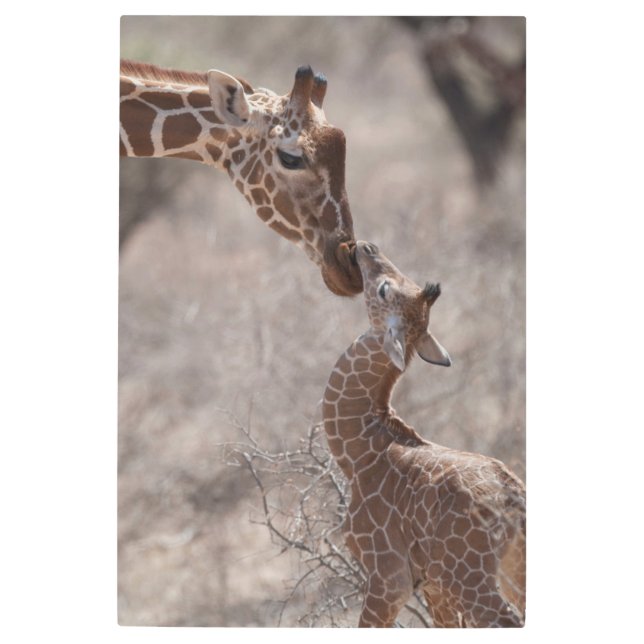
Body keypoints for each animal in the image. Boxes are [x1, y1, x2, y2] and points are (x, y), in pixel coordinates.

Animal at [322, 240, 526, 627]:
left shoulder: (388, 576)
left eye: (384, 289)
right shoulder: (432, 586)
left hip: (468, 576)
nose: (366, 246)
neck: (359, 450)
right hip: (510, 567)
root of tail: (515, 498)